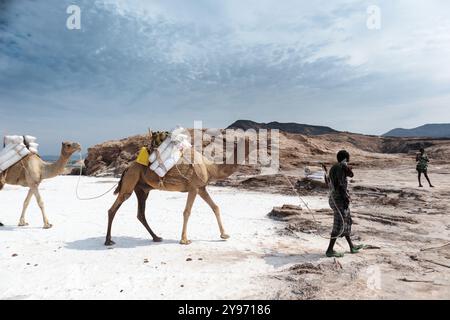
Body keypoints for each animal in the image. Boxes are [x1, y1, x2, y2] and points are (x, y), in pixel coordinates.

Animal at [106, 139, 253, 246]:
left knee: (141, 214)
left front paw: (224, 235)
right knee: (113, 208)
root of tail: (127, 168)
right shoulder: (194, 187)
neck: (210, 168)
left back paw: (156, 237)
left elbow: (215, 207)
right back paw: (108, 241)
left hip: (142, 189)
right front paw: (184, 240)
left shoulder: (201, 188)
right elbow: (187, 212)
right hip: (130, 181)